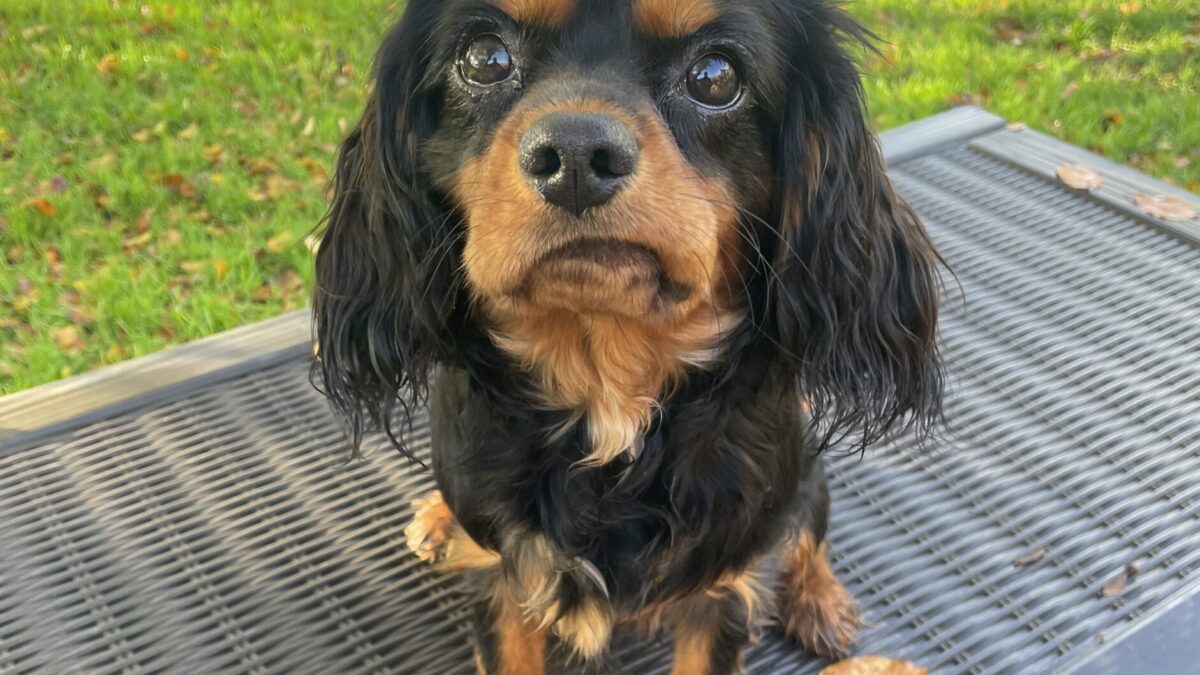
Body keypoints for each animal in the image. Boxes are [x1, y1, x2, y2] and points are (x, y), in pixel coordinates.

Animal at [314, 2, 940, 667]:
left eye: (716, 76)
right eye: (484, 59)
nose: (575, 154)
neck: (606, 395)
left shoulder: (724, 590)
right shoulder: (501, 581)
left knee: (809, 526)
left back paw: (820, 599)